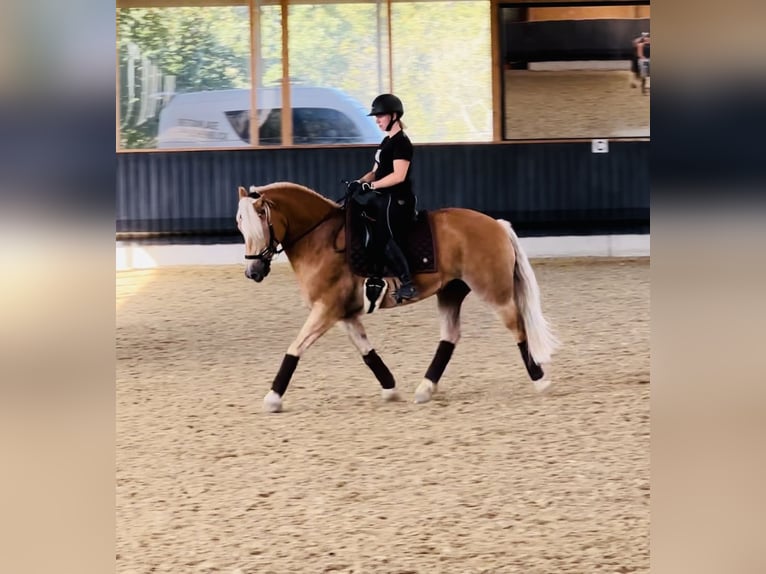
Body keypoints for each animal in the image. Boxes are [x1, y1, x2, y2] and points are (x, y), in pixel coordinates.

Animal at [234, 182, 560, 412]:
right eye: (239, 223)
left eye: (261, 222)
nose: (253, 271)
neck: (320, 239)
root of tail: (496, 224)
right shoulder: (343, 312)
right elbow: (366, 350)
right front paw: (390, 388)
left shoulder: (326, 308)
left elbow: (295, 347)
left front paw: (273, 397)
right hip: (451, 291)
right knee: (450, 336)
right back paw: (425, 389)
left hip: (494, 292)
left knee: (518, 329)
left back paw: (541, 381)